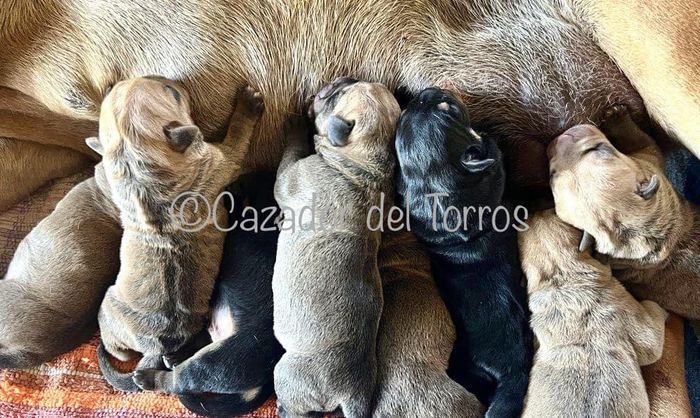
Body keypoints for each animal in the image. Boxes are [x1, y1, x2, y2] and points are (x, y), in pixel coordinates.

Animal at [93, 77, 264, 392]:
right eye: (173, 94)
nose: (174, 81)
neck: (138, 167)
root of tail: (156, 347)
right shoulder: (222, 157)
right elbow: (237, 135)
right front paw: (248, 104)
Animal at [272, 79, 399, 418]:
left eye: (336, 96)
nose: (339, 80)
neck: (364, 163)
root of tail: (350, 392)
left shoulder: (289, 176)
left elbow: (290, 152)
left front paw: (294, 126)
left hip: (287, 372)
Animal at [394, 87, 533, 418]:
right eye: (450, 109)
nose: (426, 90)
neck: (435, 185)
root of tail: (514, 370)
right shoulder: (493, 168)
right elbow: (494, 153)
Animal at [548, 105, 700, 320]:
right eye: (552, 176)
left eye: (598, 149)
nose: (558, 139)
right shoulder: (649, 161)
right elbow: (644, 142)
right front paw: (615, 114)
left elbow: (644, 142)